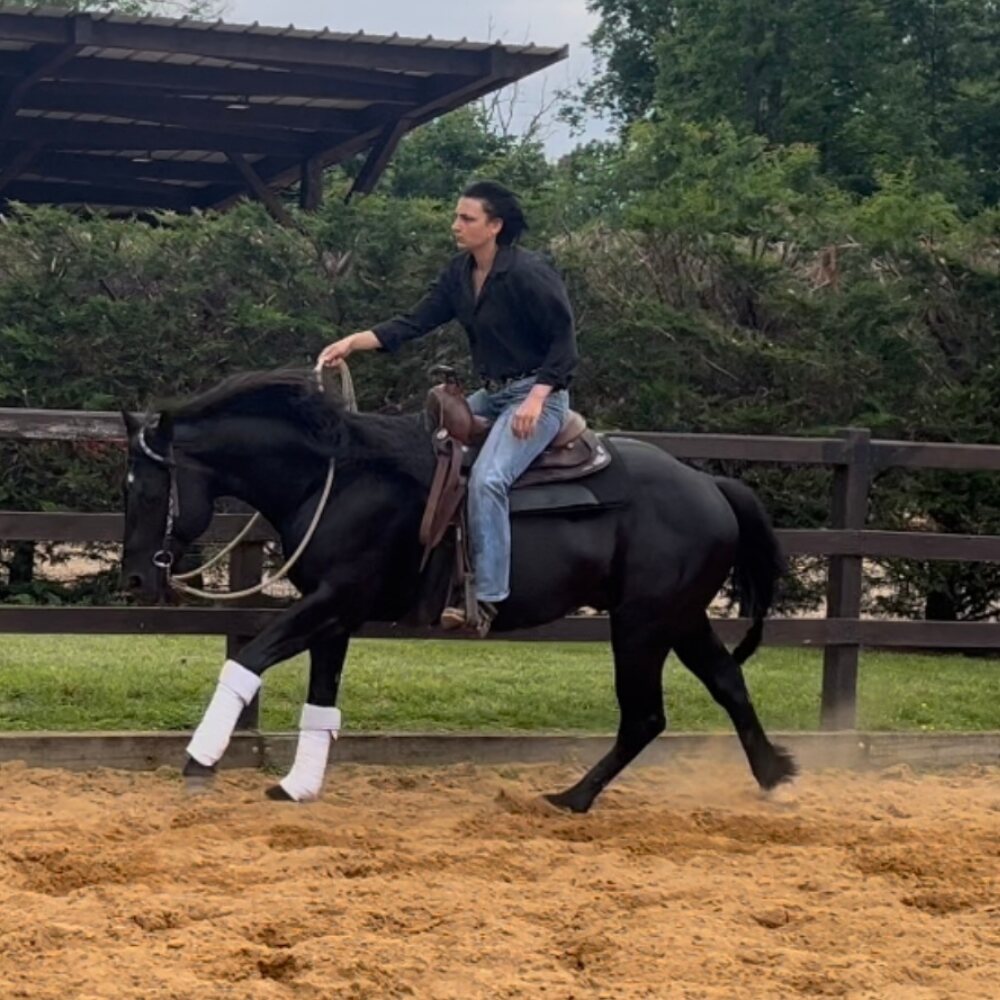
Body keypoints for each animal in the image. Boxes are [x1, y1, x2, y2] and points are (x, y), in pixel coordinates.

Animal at [120, 369, 796, 810]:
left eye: (148, 491)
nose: (134, 579)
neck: (339, 479)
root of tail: (709, 485)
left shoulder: (333, 601)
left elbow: (249, 659)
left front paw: (199, 761)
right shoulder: (335, 615)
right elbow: (321, 698)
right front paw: (296, 786)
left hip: (641, 624)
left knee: (646, 716)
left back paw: (571, 797)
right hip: (679, 618)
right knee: (728, 683)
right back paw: (775, 776)